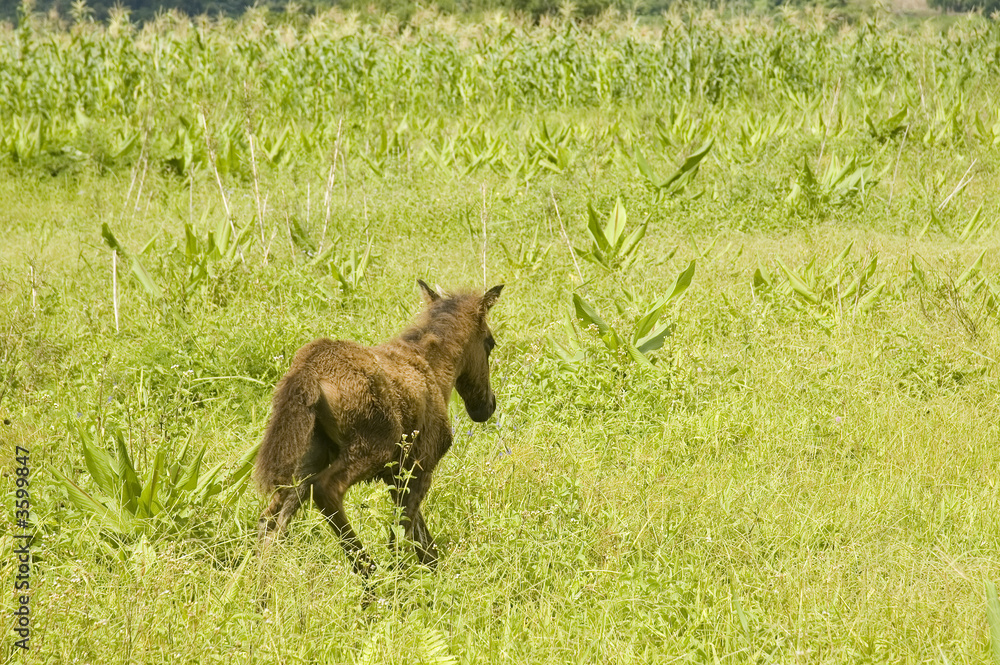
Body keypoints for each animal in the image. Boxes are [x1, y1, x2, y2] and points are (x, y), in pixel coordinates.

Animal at [254, 280, 504, 576]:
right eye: (490, 343)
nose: (487, 406)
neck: (434, 366)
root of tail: (308, 372)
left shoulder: (397, 473)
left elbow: (422, 539)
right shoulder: (421, 464)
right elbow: (403, 534)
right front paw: (405, 580)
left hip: (308, 458)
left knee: (271, 521)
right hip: (371, 448)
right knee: (325, 491)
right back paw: (370, 576)